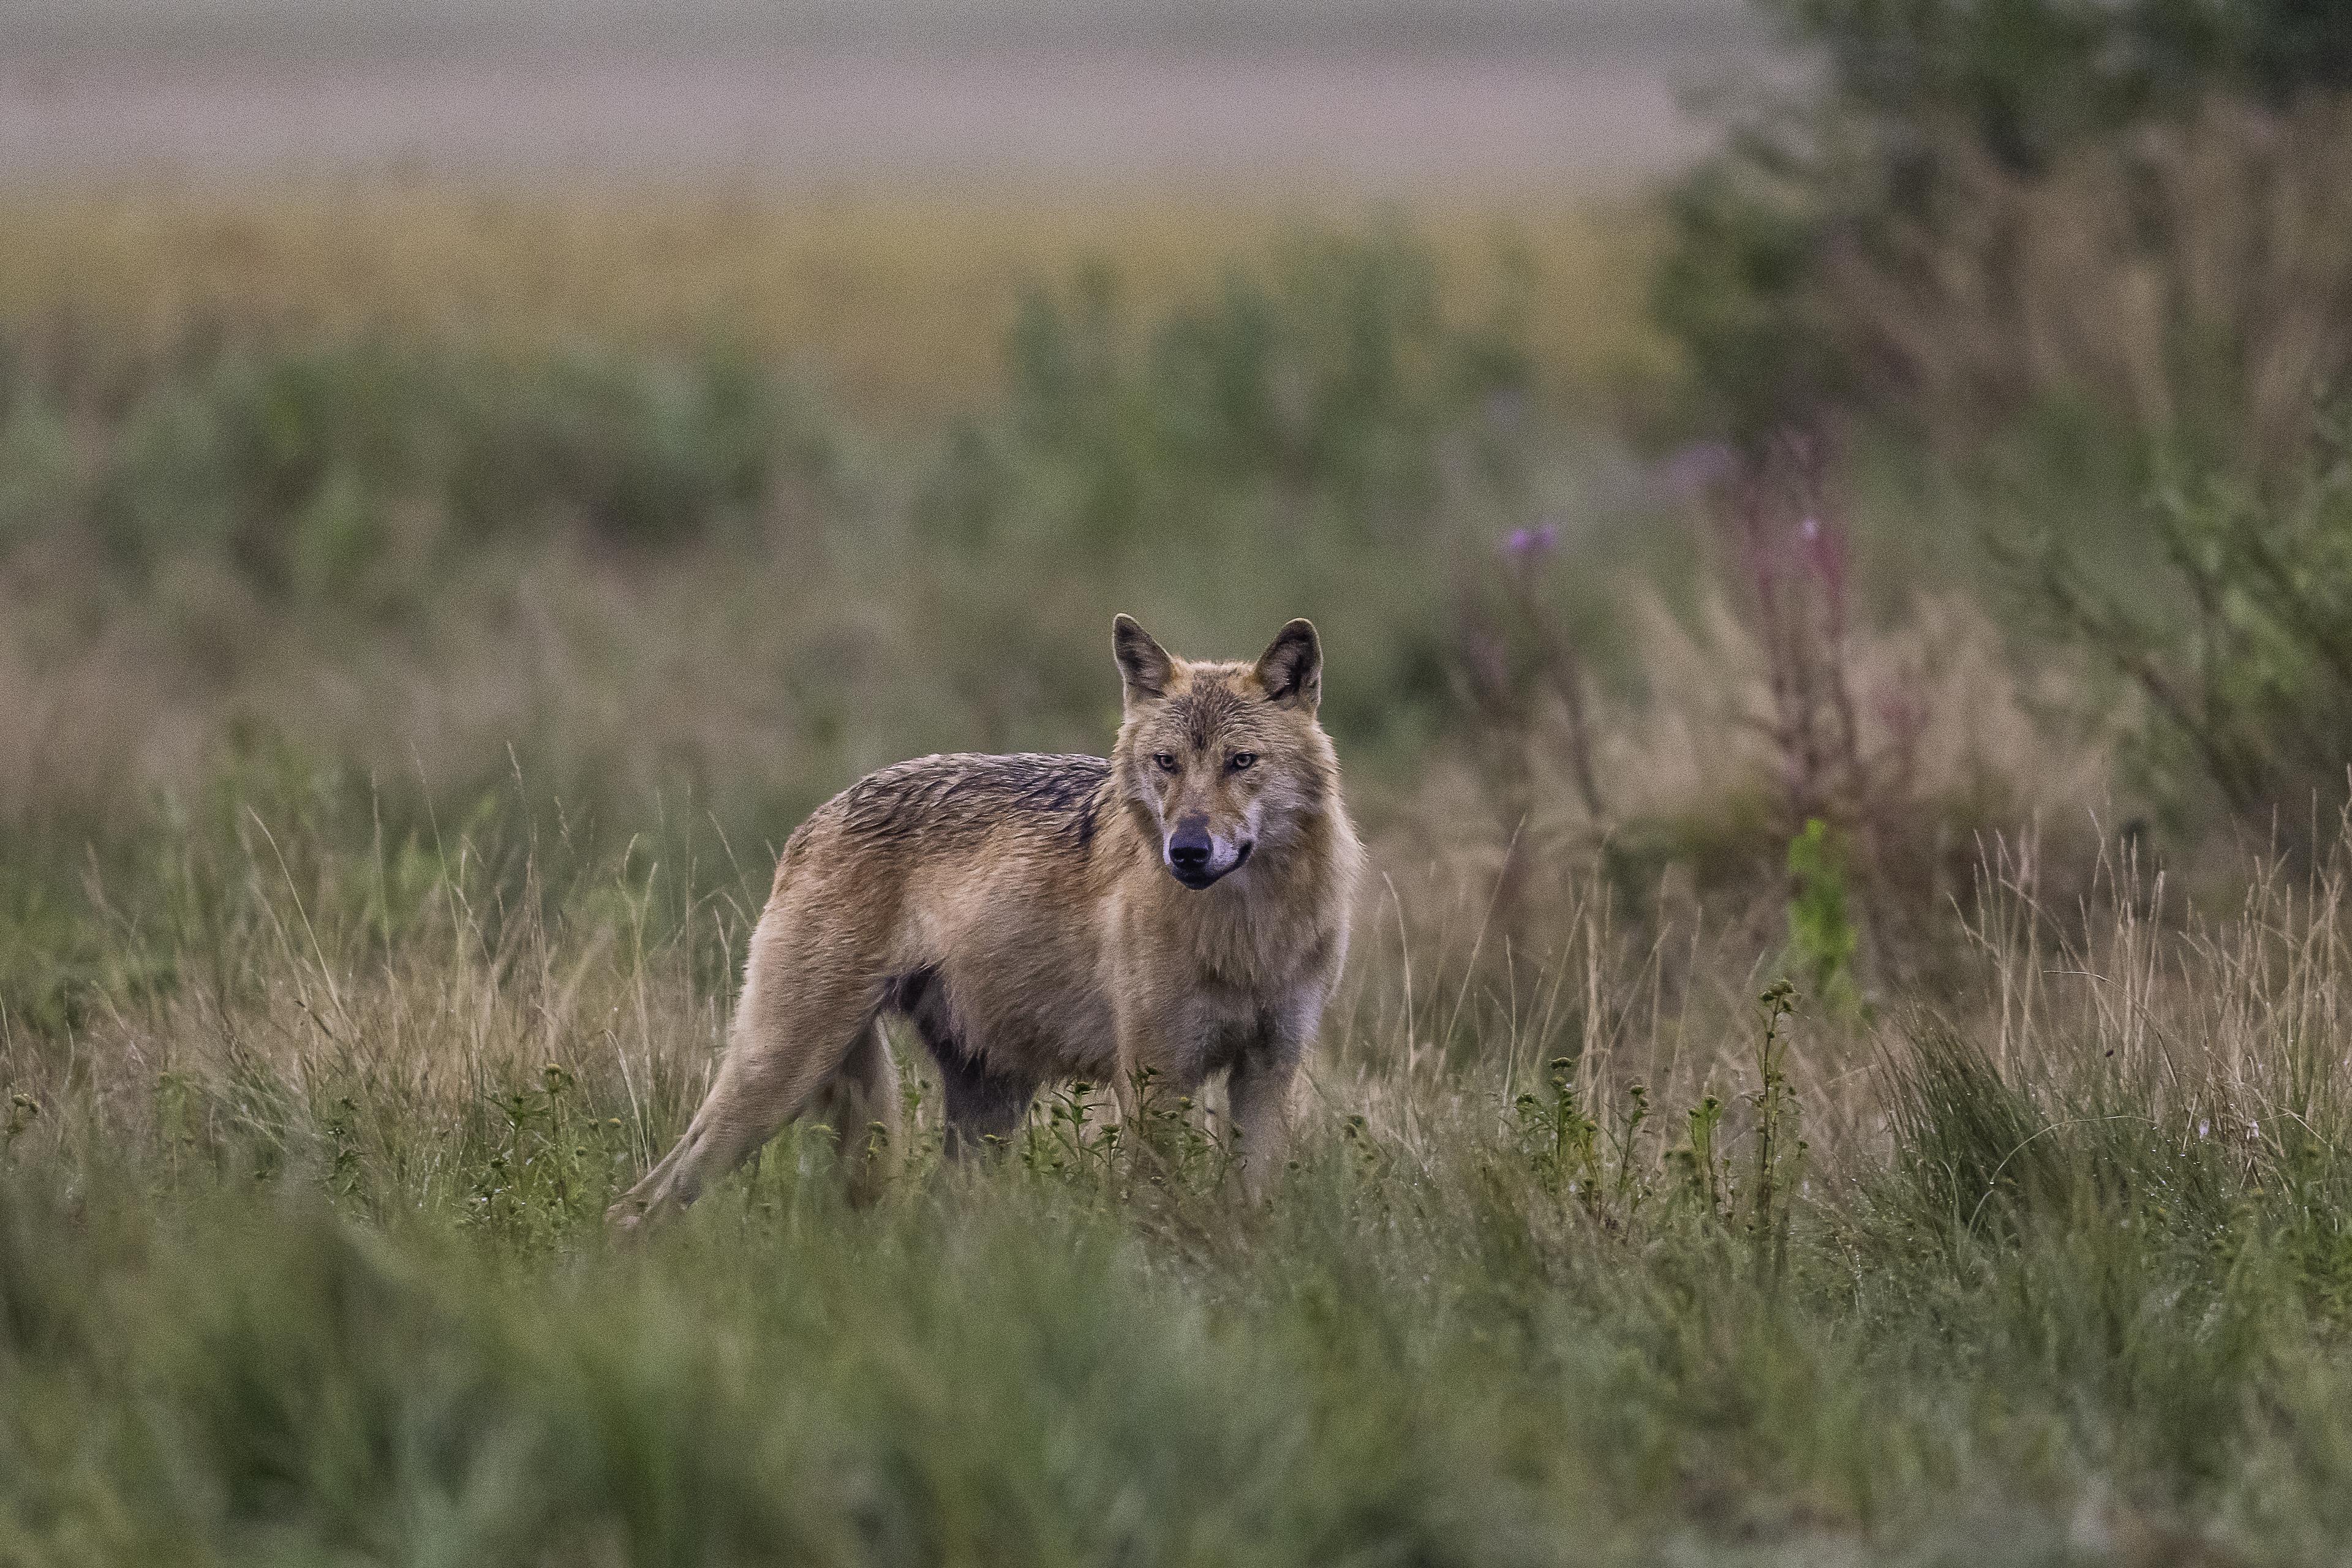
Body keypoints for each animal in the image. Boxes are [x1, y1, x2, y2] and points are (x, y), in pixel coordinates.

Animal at [608, 615, 1363, 1227]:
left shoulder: (1268, 1073)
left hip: (984, 1111)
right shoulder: (1155, 1084)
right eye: (1166, 763)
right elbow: (1158, 1217)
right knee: (640, 1204)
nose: (1189, 850)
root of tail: (815, 818)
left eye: (1241, 762)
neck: (1247, 932)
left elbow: (1250, 1213)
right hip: (780, 1077)